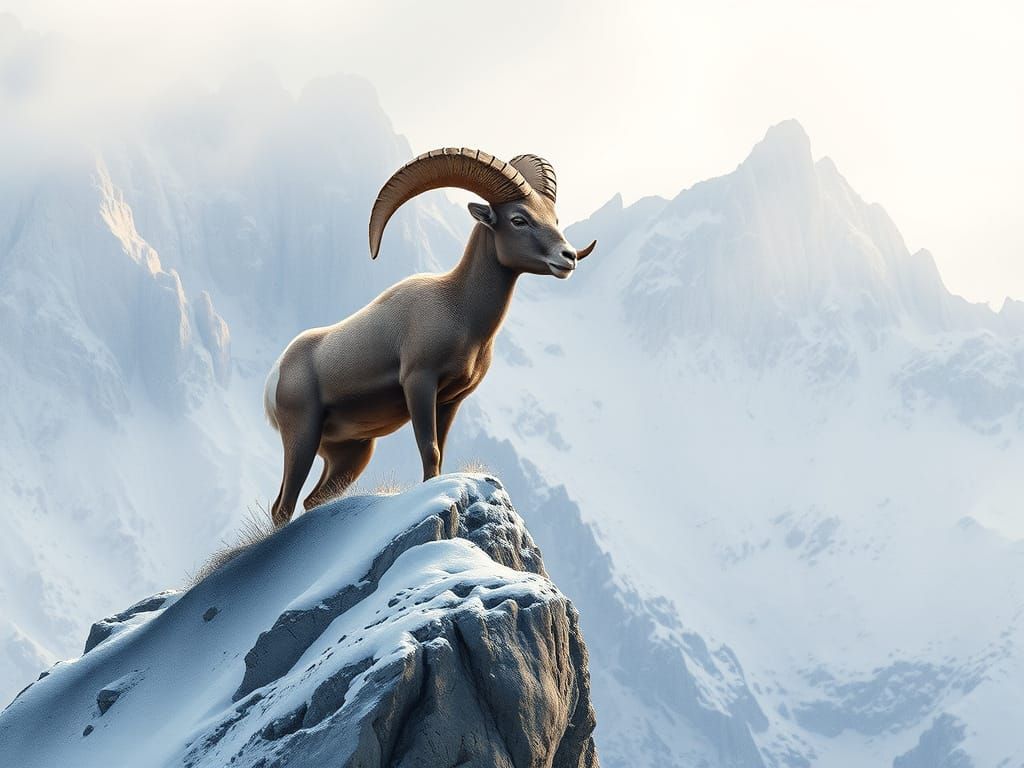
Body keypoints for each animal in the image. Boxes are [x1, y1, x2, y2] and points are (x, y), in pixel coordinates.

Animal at [264, 148, 597, 526]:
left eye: (553, 218)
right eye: (519, 220)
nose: (567, 258)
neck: (458, 307)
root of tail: (276, 376)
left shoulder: (450, 402)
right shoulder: (419, 384)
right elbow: (430, 451)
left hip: (351, 455)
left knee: (311, 501)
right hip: (302, 438)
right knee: (283, 506)